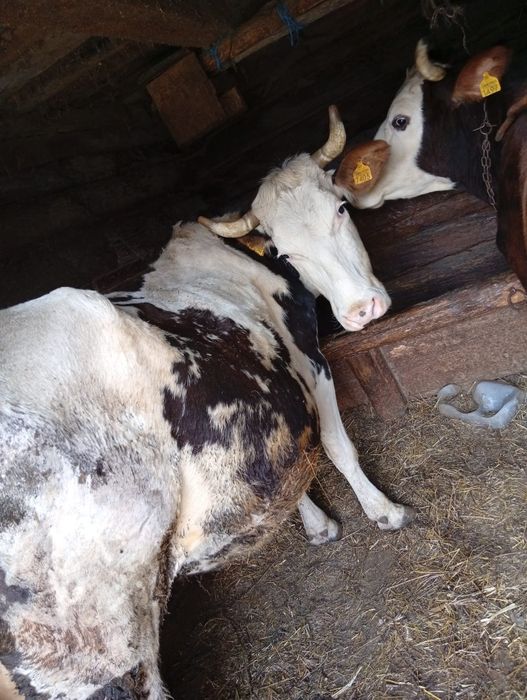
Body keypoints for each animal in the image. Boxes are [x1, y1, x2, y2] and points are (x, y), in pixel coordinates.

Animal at [0, 106, 414, 699]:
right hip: (100, 654)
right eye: (285, 251)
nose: (363, 310)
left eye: (340, 206)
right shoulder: (305, 354)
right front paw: (383, 511)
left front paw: (315, 524)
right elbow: (333, 445)